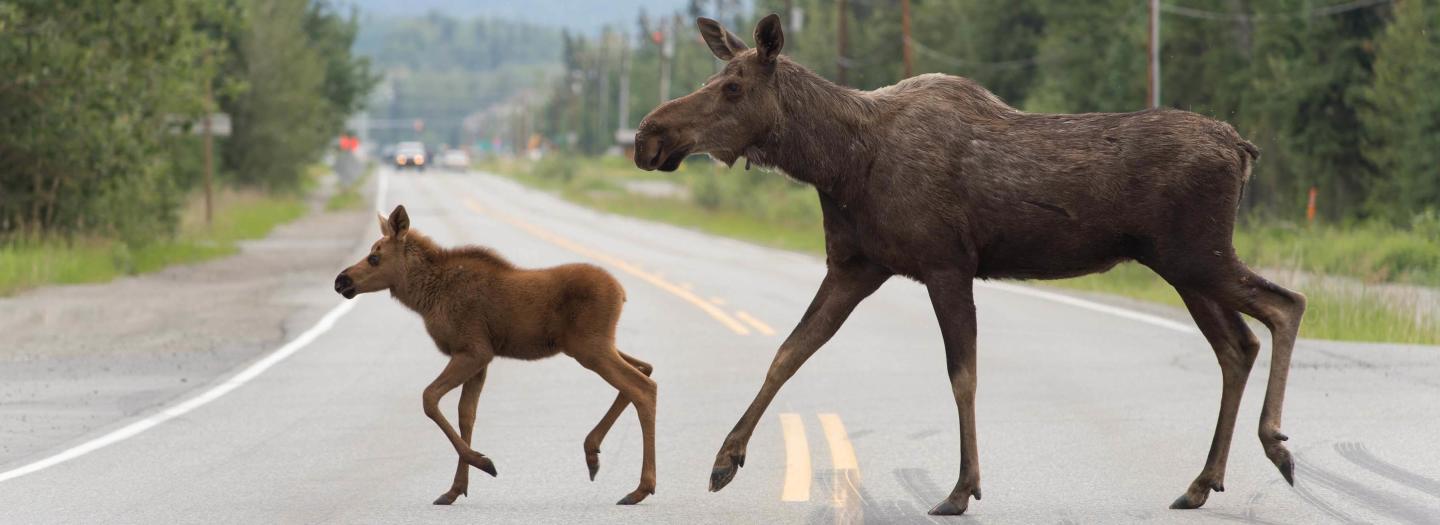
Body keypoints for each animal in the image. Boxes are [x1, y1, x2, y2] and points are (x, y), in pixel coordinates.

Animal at [333, 205, 658, 506]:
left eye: (375, 257)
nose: (341, 281)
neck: (425, 297)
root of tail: (621, 292)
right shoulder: (479, 358)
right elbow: (466, 414)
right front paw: (455, 489)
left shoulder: (473, 351)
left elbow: (429, 398)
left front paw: (484, 462)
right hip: (591, 345)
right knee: (646, 368)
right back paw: (593, 453)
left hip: (591, 347)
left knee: (642, 387)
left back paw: (640, 488)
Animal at [634, 14, 1305, 516]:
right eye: (716, 75)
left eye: (733, 87)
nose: (647, 135)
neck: (839, 163)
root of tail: (1243, 149)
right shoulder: (855, 266)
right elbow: (788, 351)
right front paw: (725, 459)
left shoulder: (945, 264)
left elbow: (963, 376)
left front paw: (961, 488)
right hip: (1184, 266)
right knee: (1237, 346)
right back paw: (1201, 481)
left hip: (1196, 256)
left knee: (1285, 305)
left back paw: (1275, 446)